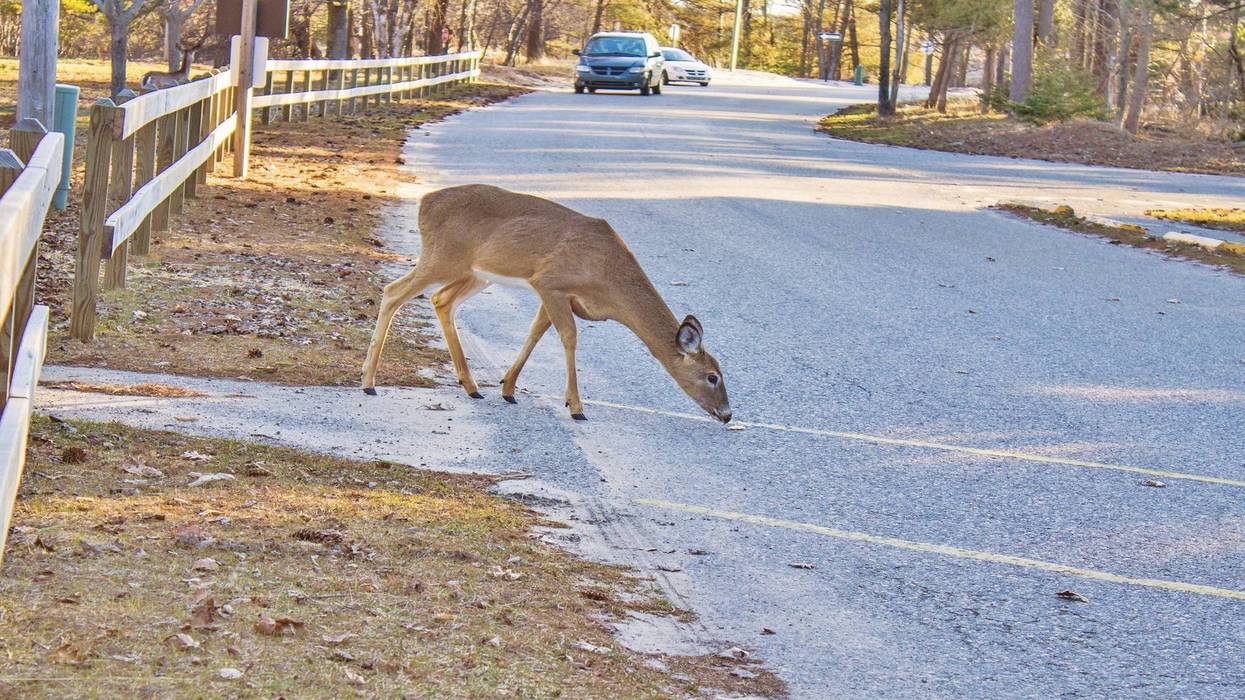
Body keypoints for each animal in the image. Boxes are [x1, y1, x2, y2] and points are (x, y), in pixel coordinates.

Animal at [361, 184, 732, 423]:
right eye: (712, 376)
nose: (727, 415)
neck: (607, 276)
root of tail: (425, 201)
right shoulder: (551, 283)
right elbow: (568, 337)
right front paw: (576, 406)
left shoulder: (553, 294)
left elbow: (536, 332)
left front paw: (508, 388)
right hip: (443, 258)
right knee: (394, 291)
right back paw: (368, 382)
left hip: (476, 272)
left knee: (441, 299)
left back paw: (471, 386)